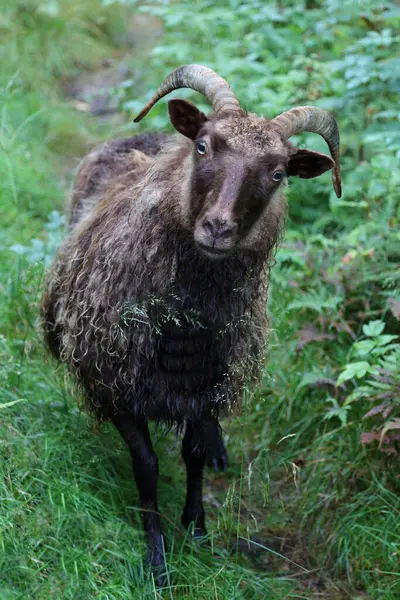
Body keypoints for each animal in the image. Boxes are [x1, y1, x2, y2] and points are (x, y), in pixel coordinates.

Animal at [39, 63, 340, 580]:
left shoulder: (205, 382)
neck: (183, 323)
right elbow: (147, 465)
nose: (218, 228)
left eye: (279, 173)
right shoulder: (116, 386)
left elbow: (194, 452)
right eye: (203, 146)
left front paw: (198, 531)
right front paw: (156, 559)